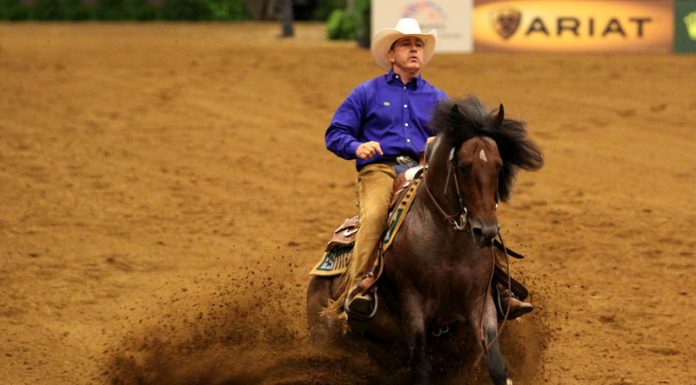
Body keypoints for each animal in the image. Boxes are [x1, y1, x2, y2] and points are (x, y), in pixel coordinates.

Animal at [308, 94, 544, 382]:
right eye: (463, 167)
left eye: (499, 166)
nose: (486, 231)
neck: (449, 244)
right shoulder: (412, 302)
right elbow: (421, 366)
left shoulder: (480, 300)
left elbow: (497, 364)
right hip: (324, 331)